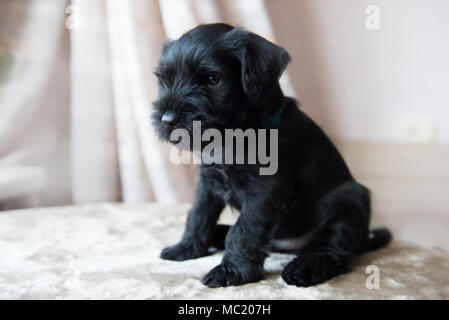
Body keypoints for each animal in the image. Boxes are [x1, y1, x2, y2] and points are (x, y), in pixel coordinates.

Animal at [152, 23, 390, 288]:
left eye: (213, 79)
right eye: (164, 80)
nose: (167, 120)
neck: (235, 133)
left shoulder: (264, 188)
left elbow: (244, 229)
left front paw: (231, 272)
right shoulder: (208, 181)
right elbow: (198, 214)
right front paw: (186, 247)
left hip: (352, 199)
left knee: (334, 252)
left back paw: (305, 267)